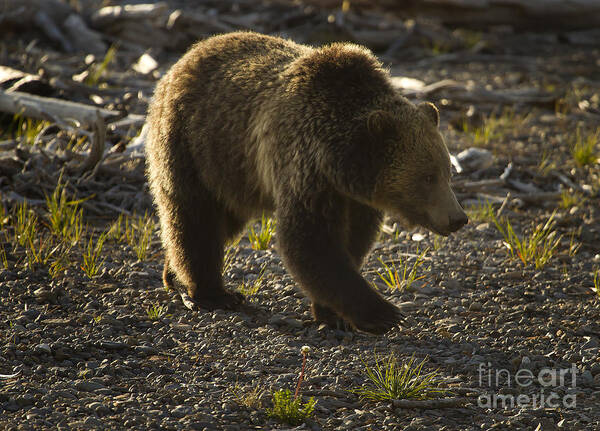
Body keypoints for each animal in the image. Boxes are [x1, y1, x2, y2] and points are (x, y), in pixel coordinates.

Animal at [146, 31, 468, 334]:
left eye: (448, 172)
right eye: (428, 177)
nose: (458, 218)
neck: (341, 164)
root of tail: (184, 58)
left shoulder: (355, 197)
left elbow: (352, 241)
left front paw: (334, 314)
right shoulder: (305, 168)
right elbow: (310, 239)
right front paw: (383, 314)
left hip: (232, 172)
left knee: (222, 221)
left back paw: (174, 275)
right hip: (191, 143)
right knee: (194, 216)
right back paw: (212, 293)